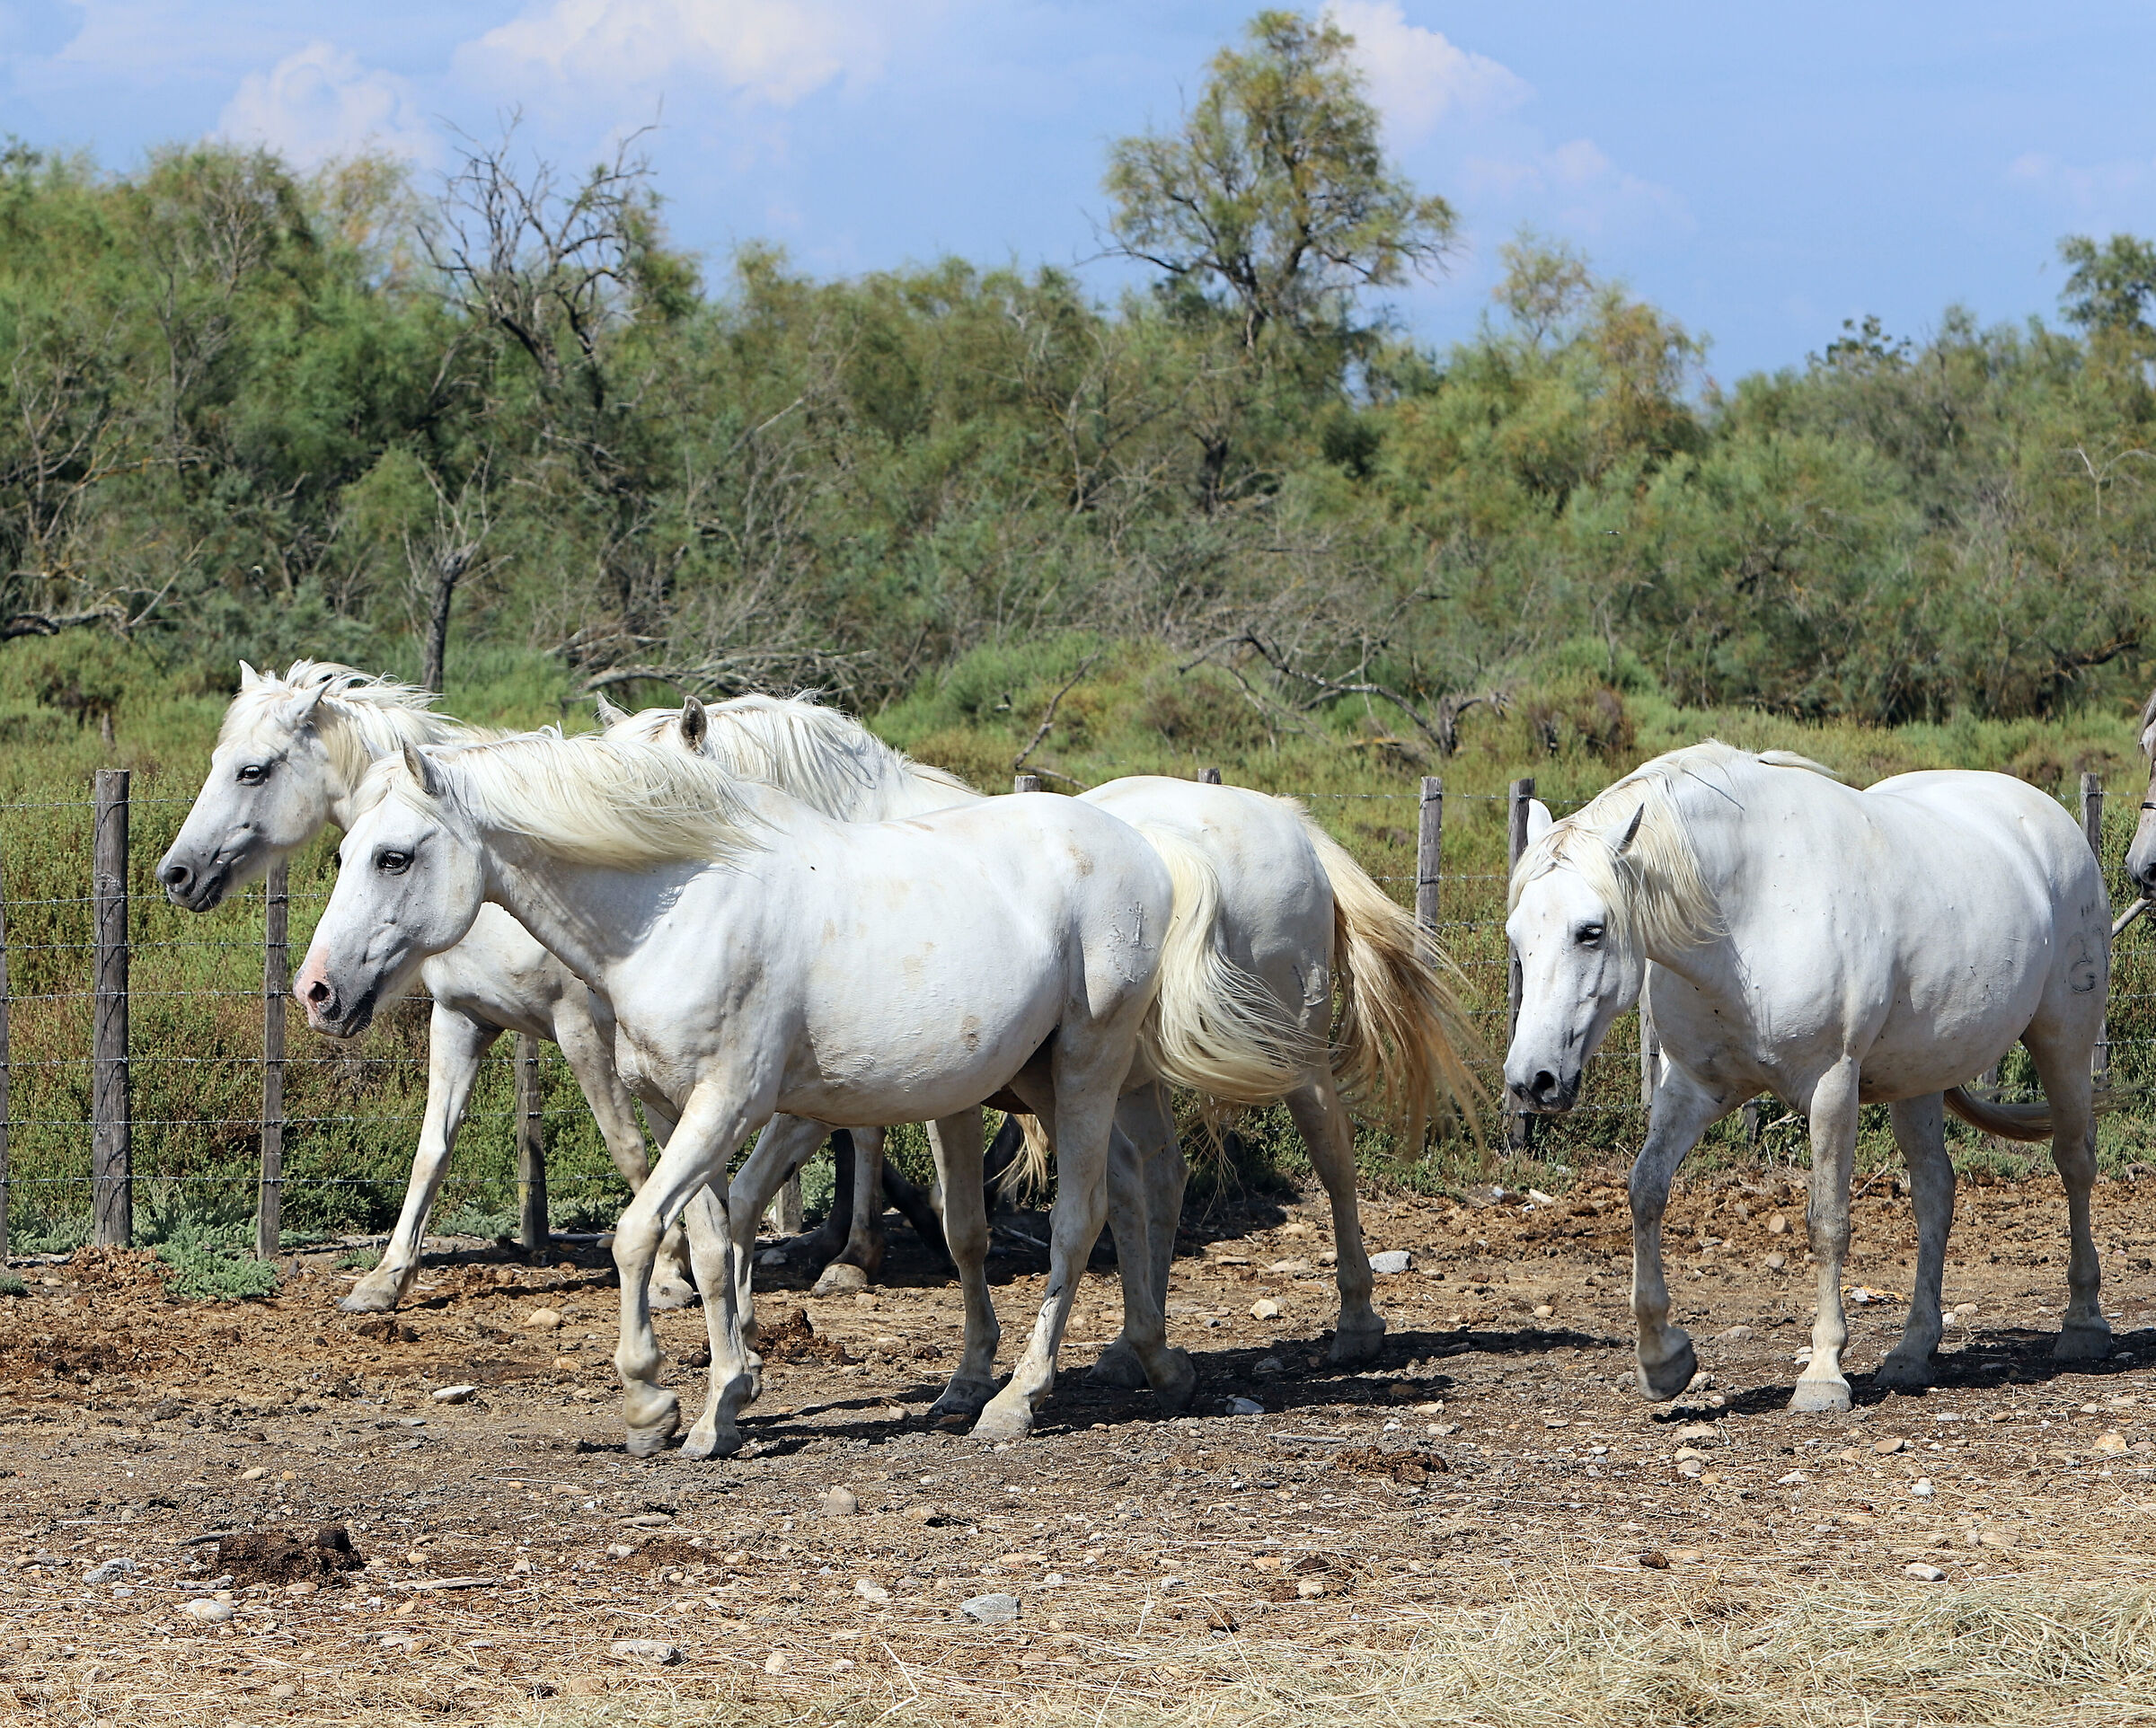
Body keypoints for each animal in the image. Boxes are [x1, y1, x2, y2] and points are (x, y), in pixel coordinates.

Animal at [295, 732, 1314, 1456]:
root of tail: (1143, 845)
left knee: (1082, 1217)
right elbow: (712, 1245)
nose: (318, 993)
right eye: (345, 852)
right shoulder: (681, 1111)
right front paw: (724, 1401)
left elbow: (637, 1234)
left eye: (394, 856)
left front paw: (655, 1402)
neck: (673, 913)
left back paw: (1018, 1401)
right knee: (1138, 1193)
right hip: (1046, 1077)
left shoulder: (730, 1103)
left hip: (1087, 1063)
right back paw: (1153, 1365)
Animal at [603, 693, 1481, 1371]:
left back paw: (1356, 1325)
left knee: (1332, 1159)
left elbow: (824, 1182)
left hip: (1291, 1058)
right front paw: (750, 1326)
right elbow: (753, 1191)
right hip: (1138, 1076)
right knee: (1160, 1179)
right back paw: (1136, 1344)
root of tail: (1287, 822)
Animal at [1505, 741, 2111, 1414]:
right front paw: (1663, 1360)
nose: (1532, 1081)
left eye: (1591, 931)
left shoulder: (1831, 1086)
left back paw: (2083, 1325)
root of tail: (2051, 820)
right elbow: (1646, 1191)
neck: (1749, 912)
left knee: (2075, 1163)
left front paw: (1823, 1373)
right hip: (1920, 1078)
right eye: (1517, 937)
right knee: (1935, 1192)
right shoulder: (1693, 1088)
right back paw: (1911, 1352)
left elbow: (1827, 1224)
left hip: (2063, 1041)